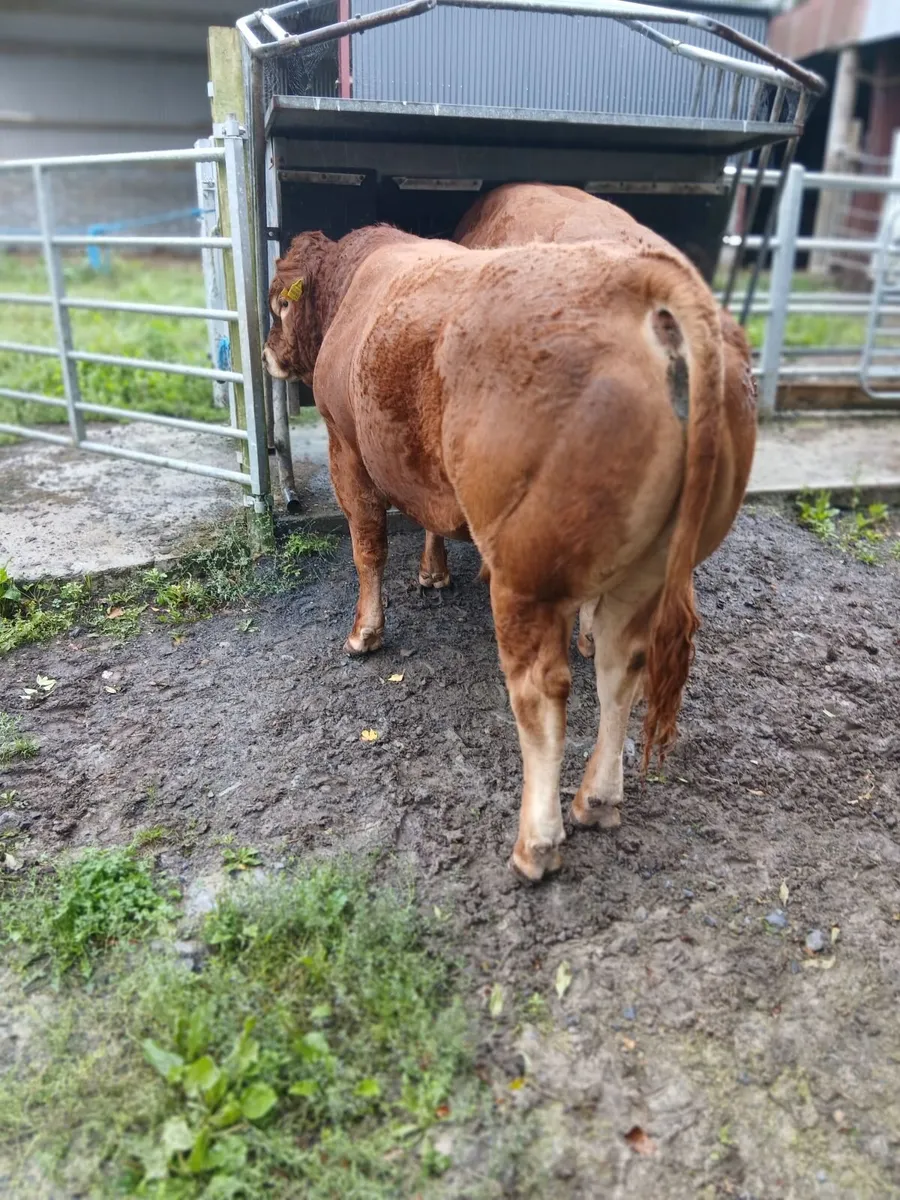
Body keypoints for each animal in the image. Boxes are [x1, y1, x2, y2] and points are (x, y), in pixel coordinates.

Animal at [263, 221, 728, 882]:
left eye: (278, 302)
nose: (266, 354)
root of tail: (640, 279)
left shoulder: (345, 444)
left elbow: (368, 545)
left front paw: (364, 634)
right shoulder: (420, 463)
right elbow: (427, 516)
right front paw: (433, 574)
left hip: (526, 575)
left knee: (541, 694)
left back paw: (537, 841)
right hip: (648, 570)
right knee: (622, 669)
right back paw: (597, 799)